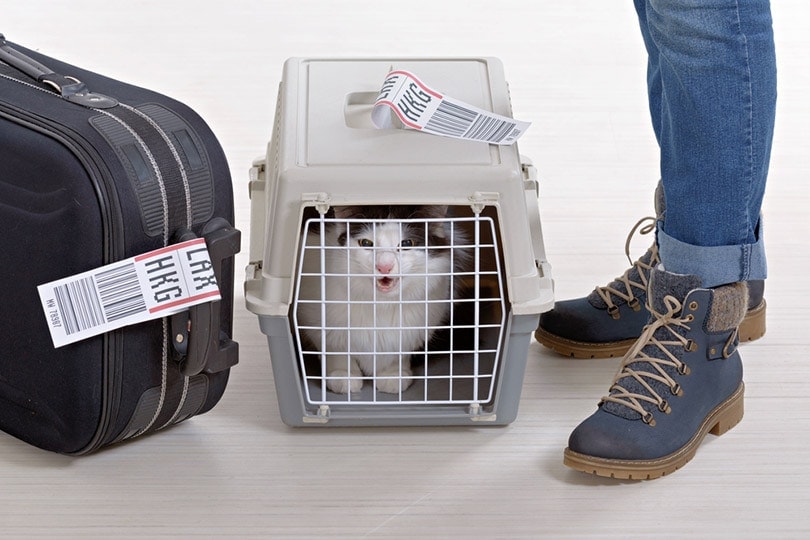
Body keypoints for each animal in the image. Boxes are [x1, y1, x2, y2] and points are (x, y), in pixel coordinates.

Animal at [296, 205, 468, 394]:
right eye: (366, 243)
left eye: (407, 244)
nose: (384, 266)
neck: (381, 304)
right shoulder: (319, 322)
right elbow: (337, 350)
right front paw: (344, 376)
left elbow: (397, 352)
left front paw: (393, 376)